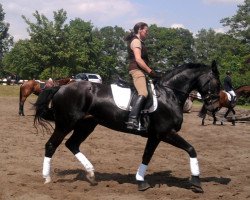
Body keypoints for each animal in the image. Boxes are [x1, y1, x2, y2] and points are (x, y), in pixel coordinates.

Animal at [33, 61, 221, 192]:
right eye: (217, 82)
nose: (214, 106)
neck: (169, 94)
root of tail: (61, 87)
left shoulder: (155, 136)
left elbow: (147, 156)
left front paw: (141, 181)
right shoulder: (166, 132)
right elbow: (191, 149)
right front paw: (196, 182)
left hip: (86, 125)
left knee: (72, 144)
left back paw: (91, 174)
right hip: (66, 123)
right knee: (51, 145)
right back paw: (47, 178)